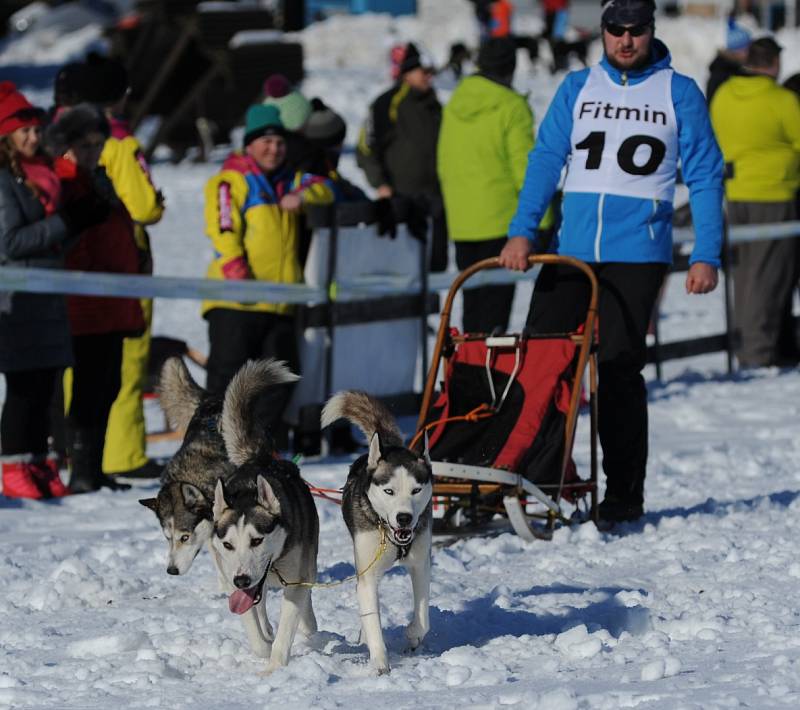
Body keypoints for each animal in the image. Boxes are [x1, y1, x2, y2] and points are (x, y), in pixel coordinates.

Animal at [212, 362, 318, 672]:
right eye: (228, 545)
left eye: (257, 540)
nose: (241, 580)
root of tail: (258, 458)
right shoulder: (234, 580)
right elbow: (253, 626)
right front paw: (263, 646)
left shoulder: (296, 580)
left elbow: (288, 628)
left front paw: (273, 670)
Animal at [320, 392, 434, 676]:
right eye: (389, 491)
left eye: (416, 490)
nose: (404, 518)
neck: (393, 536)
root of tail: (389, 444)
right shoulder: (368, 574)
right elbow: (372, 617)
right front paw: (380, 663)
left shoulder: (420, 564)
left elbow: (423, 616)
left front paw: (413, 635)